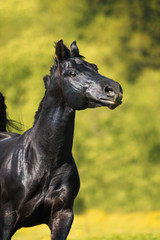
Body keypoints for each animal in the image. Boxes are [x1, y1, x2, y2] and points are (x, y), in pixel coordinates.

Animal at [0, 40, 122, 239]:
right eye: (72, 73)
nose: (115, 90)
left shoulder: (62, 215)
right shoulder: (6, 217)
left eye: (95, 67)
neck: (45, 163)